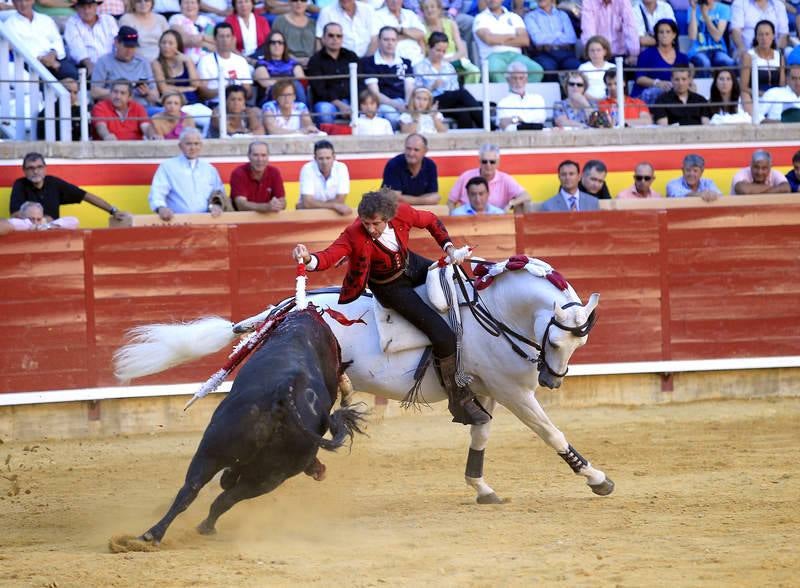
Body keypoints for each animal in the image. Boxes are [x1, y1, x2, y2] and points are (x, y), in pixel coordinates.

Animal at [114, 255, 612, 504]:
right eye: (557, 340)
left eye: (580, 343)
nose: (552, 380)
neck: (490, 311)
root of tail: (285, 310)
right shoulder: (512, 392)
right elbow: (550, 432)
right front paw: (596, 478)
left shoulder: (484, 390)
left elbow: (481, 434)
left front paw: (480, 486)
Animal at [141, 310, 366, 544]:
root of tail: (283, 393)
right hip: (267, 474)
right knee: (220, 497)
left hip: (216, 453)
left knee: (195, 490)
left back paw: (159, 532)